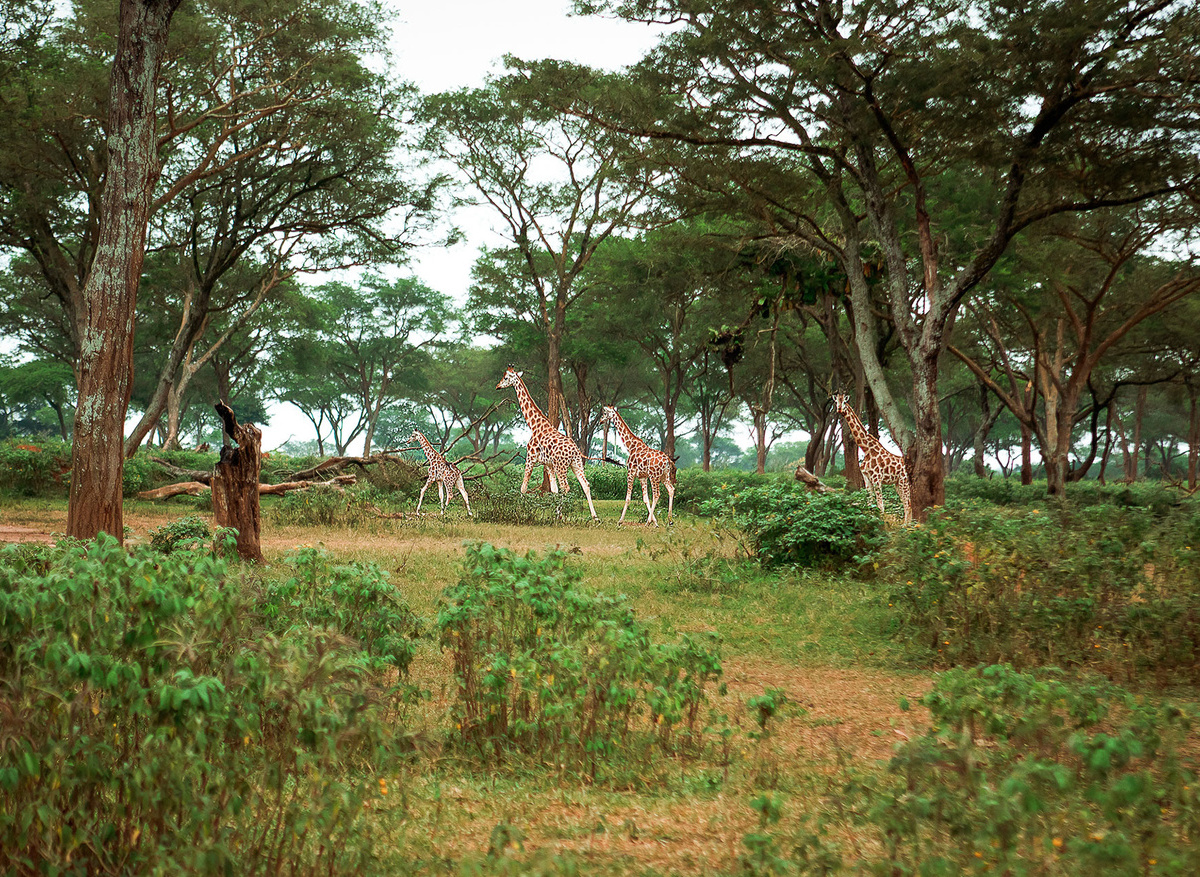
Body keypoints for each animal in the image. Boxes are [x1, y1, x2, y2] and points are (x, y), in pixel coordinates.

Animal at [495, 367, 599, 521]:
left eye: (506, 377)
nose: (497, 386)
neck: (534, 425)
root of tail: (575, 450)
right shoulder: (548, 464)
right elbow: (554, 490)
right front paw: (552, 513)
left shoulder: (530, 457)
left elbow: (523, 486)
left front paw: (519, 511)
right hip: (576, 464)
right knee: (585, 484)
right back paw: (594, 516)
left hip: (561, 466)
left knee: (566, 487)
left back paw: (561, 515)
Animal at [832, 392, 913, 524]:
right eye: (836, 402)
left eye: (844, 402)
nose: (839, 409)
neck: (867, 449)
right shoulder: (866, 478)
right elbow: (870, 504)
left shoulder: (876, 478)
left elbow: (880, 505)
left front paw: (883, 524)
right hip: (897, 483)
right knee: (906, 503)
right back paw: (906, 525)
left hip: (903, 481)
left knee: (908, 503)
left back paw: (907, 526)